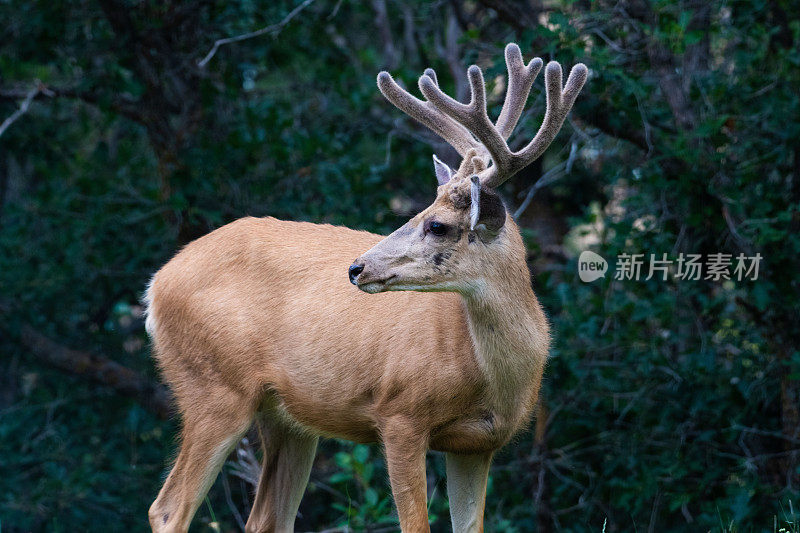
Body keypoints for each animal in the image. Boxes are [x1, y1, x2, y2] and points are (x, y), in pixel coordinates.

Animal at [144, 42, 584, 532]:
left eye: (436, 224)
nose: (356, 268)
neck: (491, 375)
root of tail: (157, 285)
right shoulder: (400, 414)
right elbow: (417, 524)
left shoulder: (479, 444)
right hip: (214, 385)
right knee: (167, 508)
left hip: (286, 417)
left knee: (264, 518)